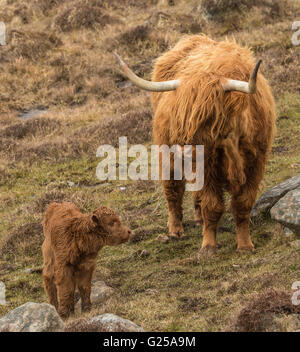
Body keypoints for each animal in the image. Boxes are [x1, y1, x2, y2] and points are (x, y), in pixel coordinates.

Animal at [115, 35, 276, 253]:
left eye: (209, 116)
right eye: (179, 113)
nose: (184, 148)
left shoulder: (256, 163)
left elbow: (243, 204)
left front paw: (245, 245)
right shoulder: (205, 167)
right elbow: (212, 205)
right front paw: (208, 246)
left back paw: (198, 218)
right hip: (168, 155)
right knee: (173, 190)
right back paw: (175, 230)